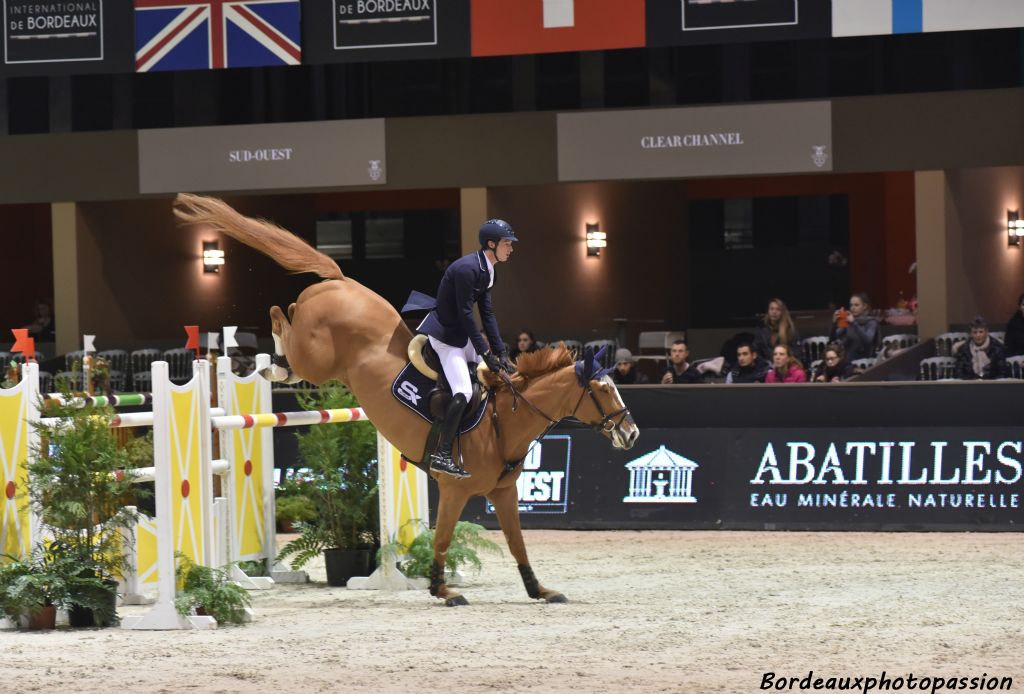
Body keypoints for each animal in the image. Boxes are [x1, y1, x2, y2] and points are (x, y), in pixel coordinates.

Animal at [176, 193, 638, 605]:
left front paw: (539, 590)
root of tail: (342, 280)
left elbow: (518, 544)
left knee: (287, 318)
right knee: (279, 313)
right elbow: (444, 538)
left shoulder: (504, 494)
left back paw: (277, 366)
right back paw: (271, 362)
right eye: (602, 390)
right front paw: (442, 590)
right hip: (319, 358)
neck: (504, 421)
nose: (631, 433)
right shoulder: (454, 490)